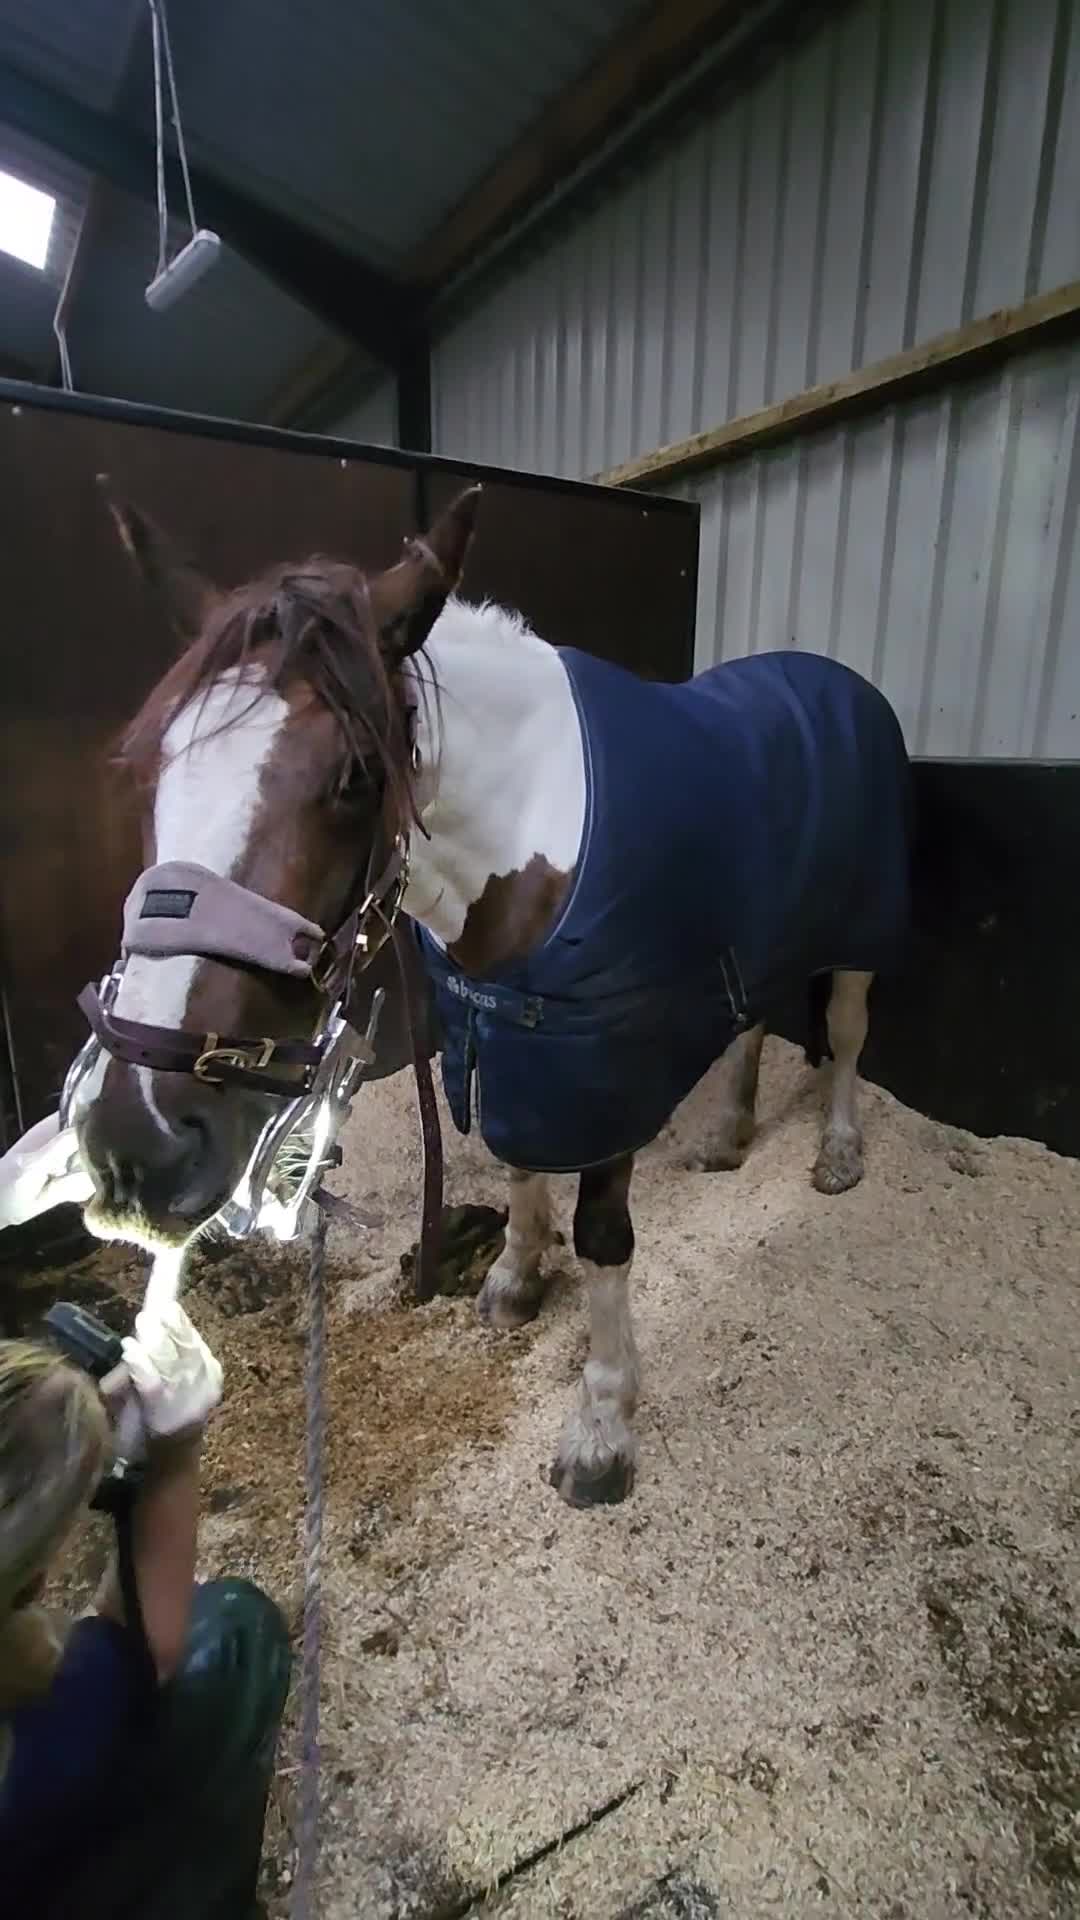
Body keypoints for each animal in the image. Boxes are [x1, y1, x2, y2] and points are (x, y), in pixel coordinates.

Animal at [73, 484, 912, 1508]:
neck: (542, 831)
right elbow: (517, 1162)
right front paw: (513, 1278)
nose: (138, 1139)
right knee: (754, 1018)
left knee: (846, 1031)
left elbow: (603, 1237)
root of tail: (842, 682)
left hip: (863, 929)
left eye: (356, 778)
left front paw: (601, 1427)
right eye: (159, 769)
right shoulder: (499, 1031)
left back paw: (838, 1152)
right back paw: (726, 1136)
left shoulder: (604, 1065)